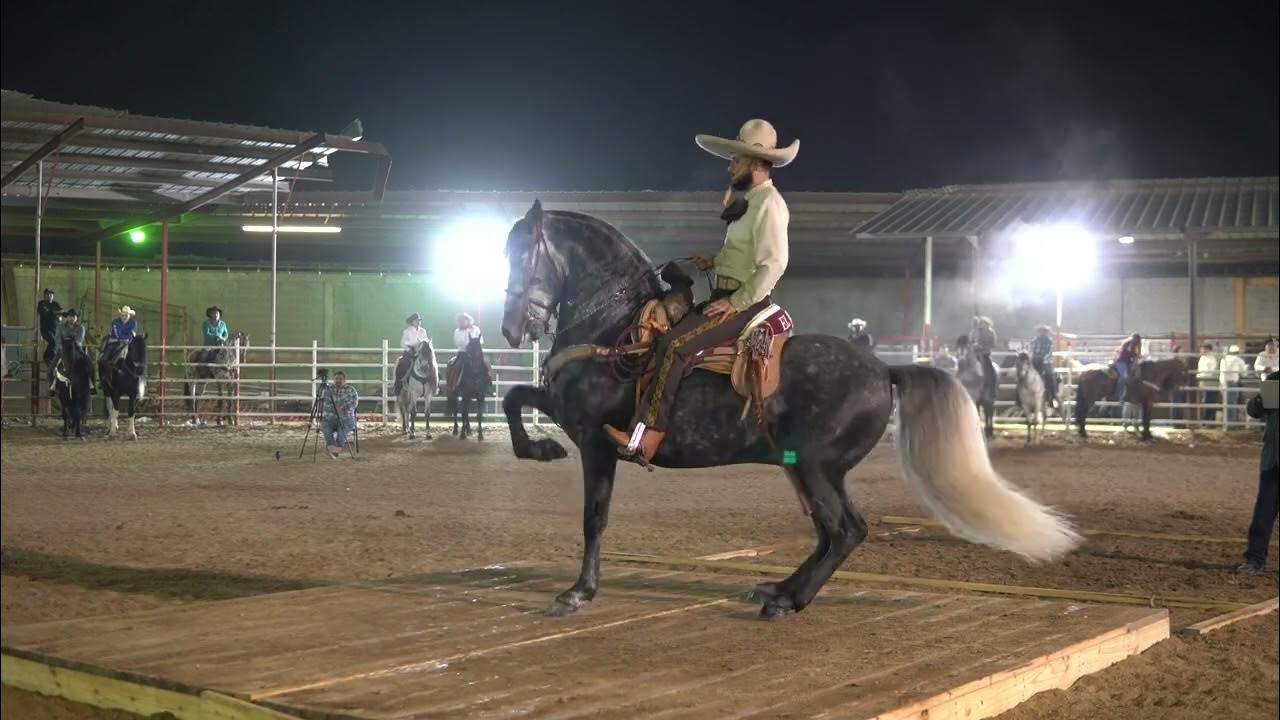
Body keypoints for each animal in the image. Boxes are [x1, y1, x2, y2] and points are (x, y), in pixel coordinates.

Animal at [499, 201, 1079, 620]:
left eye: (521, 255)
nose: (511, 329)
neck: (619, 330)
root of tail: (884, 371)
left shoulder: (596, 439)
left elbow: (594, 517)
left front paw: (577, 592)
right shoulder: (567, 413)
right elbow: (513, 397)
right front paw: (539, 448)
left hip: (815, 466)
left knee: (844, 531)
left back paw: (788, 600)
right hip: (809, 468)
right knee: (833, 532)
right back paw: (779, 589)